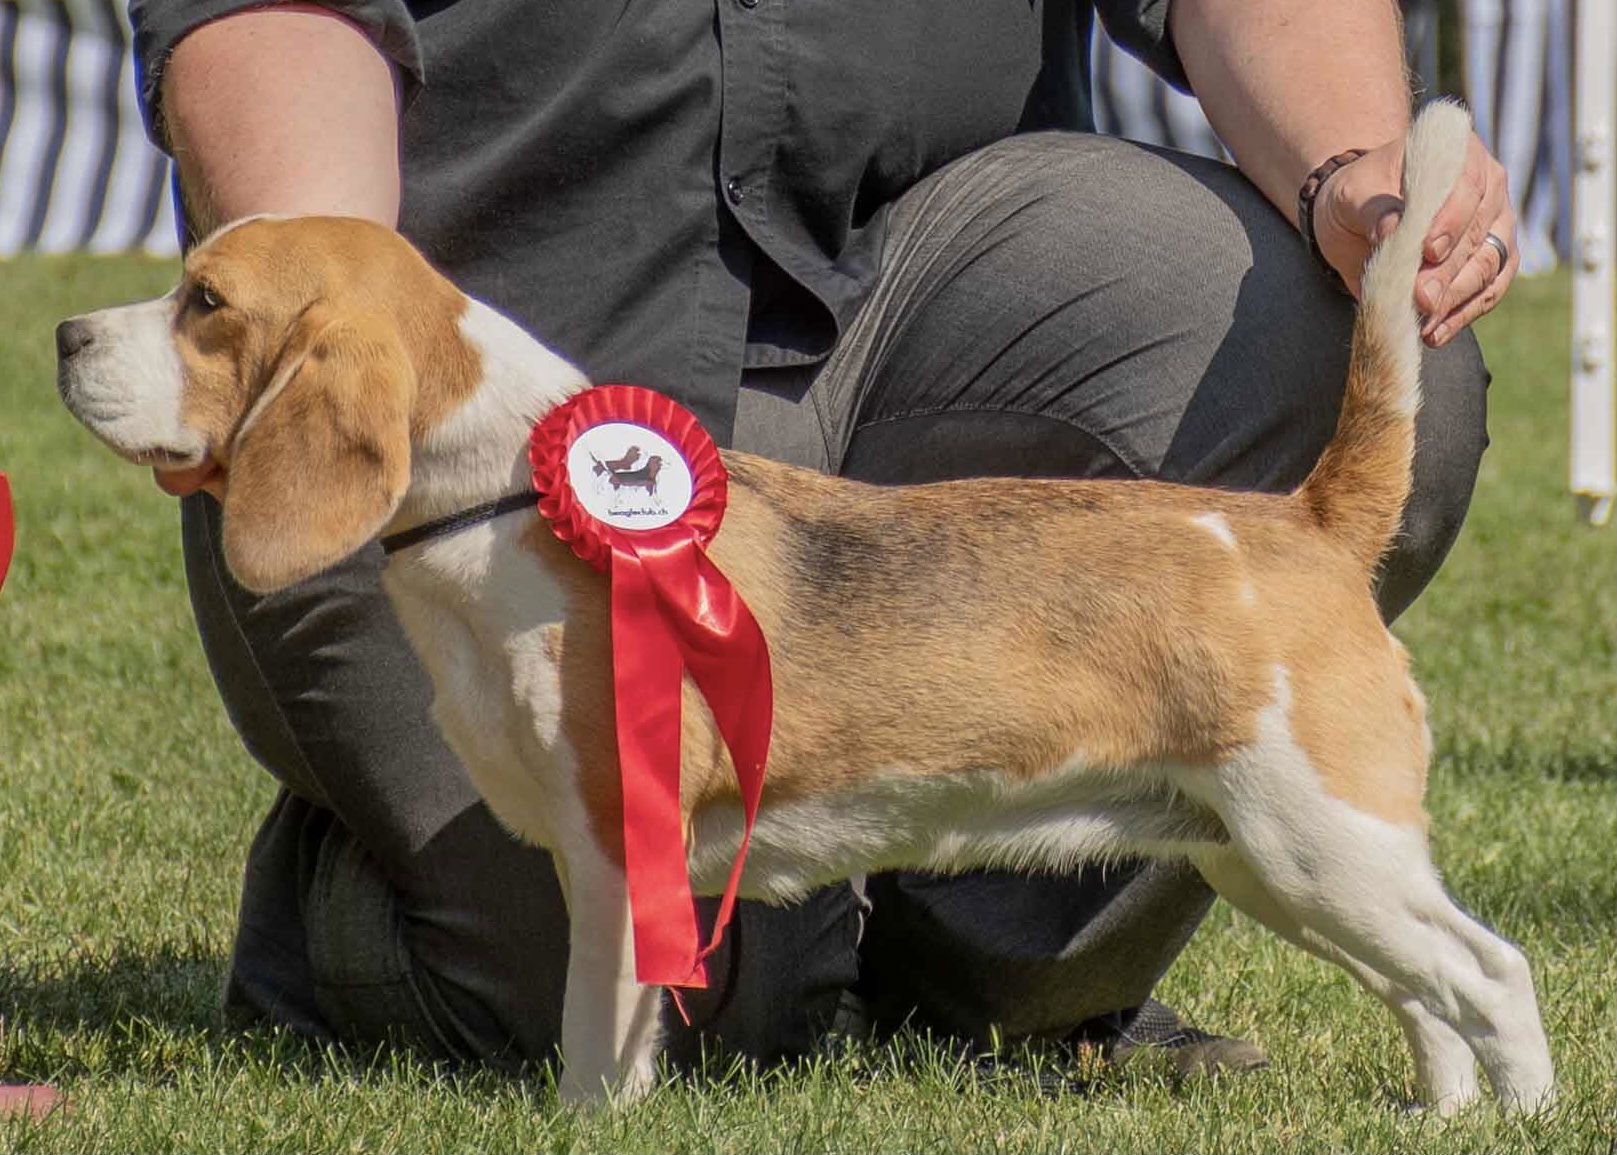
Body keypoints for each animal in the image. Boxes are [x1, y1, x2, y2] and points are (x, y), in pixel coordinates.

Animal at [59, 105, 1552, 1106]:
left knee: (1492, 974)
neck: (502, 493)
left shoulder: (621, 848)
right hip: (1269, 859)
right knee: (1424, 992)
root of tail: (1297, 521)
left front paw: (585, 1123)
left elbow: (594, 1035)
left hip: (1325, 842)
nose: (66, 336)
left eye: (204, 301)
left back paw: (1519, 1113)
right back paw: (1436, 1115)